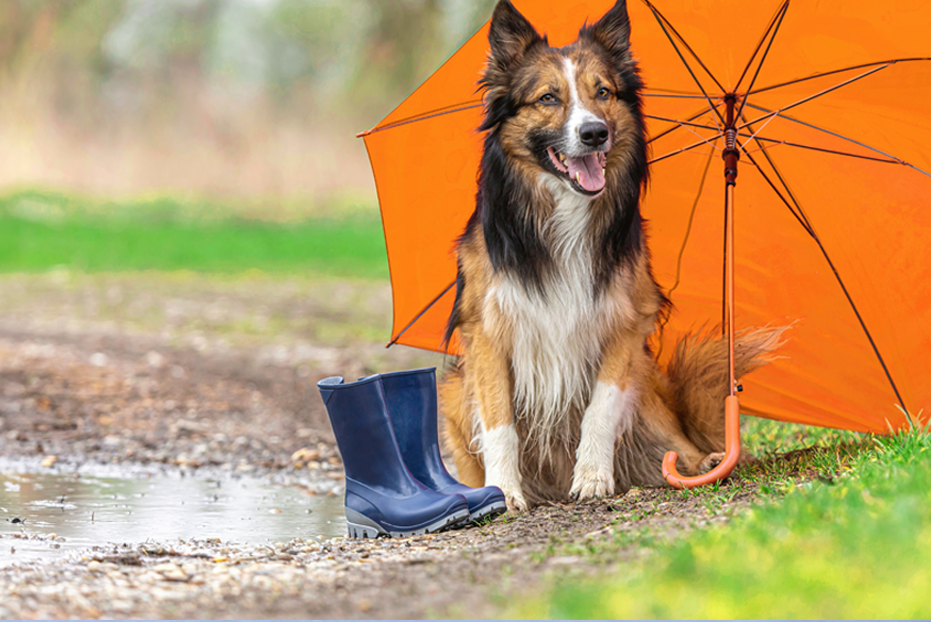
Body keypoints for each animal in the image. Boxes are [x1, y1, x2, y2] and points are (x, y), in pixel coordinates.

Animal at [438, 0, 788, 512]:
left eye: (602, 91)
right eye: (548, 98)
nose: (594, 133)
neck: (562, 212)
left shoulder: (626, 321)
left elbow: (600, 408)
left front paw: (592, 476)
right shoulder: (486, 330)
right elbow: (500, 421)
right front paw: (502, 490)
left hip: (646, 384)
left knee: (677, 442)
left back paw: (703, 463)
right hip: (452, 391)